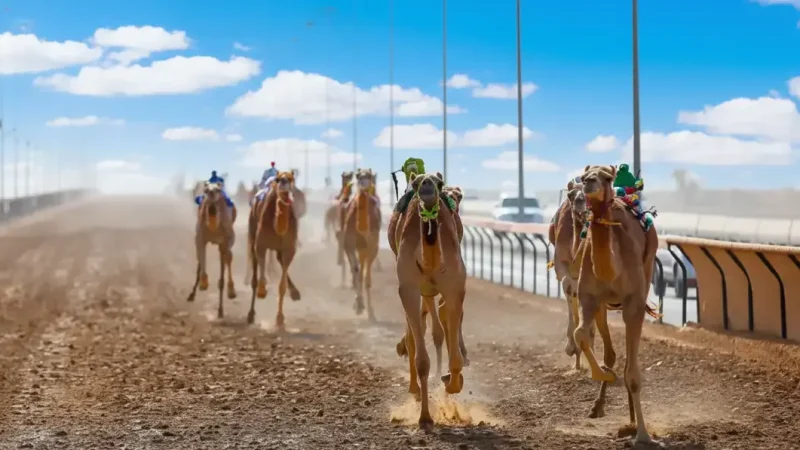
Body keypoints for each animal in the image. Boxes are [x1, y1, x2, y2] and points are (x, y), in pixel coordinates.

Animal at [187, 181, 237, 319]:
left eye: (218, 190)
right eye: (206, 189)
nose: (211, 192)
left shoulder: (227, 239)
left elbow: (226, 260)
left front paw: (223, 306)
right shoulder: (199, 238)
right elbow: (201, 257)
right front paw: (203, 283)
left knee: (227, 258)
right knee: (200, 261)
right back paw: (192, 293)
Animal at [247, 171, 302, 328]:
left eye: (291, 178)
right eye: (278, 179)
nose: (283, 182)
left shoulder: (289, 249)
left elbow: (282, 286)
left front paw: (280, 318)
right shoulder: (260, 245)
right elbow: (260, 277)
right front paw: (262, 291)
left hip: (279, 249)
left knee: (279, 260)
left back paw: (295, 293)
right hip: (252, 232)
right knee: (254, 274)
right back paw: (251, 314)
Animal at [341, 168, 382, 320]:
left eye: (368, 176)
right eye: (358, 176)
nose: (363, 183)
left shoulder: (373, 247)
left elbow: (366, 277)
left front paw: (371, 312)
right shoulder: (348, 245)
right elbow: (356, 269)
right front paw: (358, 305)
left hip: (366, 248)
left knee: (364, 269)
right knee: (358, 268)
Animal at [572, 164, 660, 444]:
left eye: (607, 177)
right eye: (584, 174)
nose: (589, 182)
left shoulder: (633, 303)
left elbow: (633, 373)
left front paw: (643, 435)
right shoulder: (589, 296)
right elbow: (580, 334)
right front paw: (603, 374)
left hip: (646, 272)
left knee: (629, 362)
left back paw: (631, 422)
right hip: (603, 306)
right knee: (610, 353)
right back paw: (601, 406)